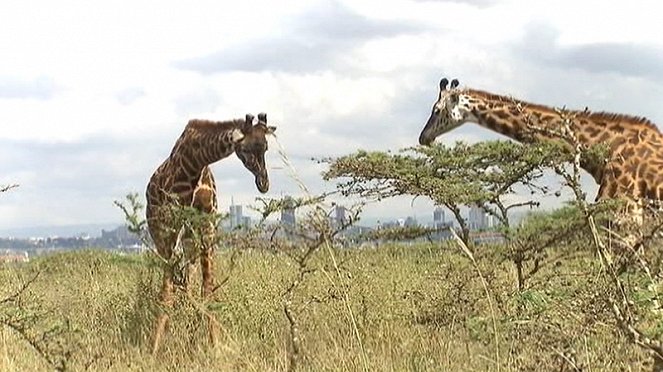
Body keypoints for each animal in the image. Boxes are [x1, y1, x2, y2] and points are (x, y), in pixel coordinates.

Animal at [147, 112, 276, 354]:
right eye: (245, 149)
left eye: (265, 147)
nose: (263, 183)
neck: (196, 162)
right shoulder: (171, 226)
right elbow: (166, 291)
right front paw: (154, 348)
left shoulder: (207, 225)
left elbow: (207, 289)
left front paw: (214, 345)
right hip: (160, 234)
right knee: (174, 284)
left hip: (189, 241)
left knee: (186, 281)